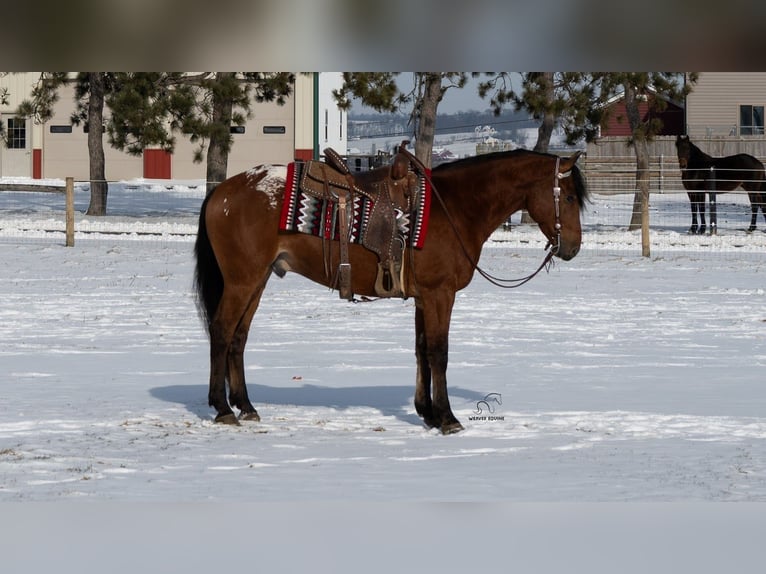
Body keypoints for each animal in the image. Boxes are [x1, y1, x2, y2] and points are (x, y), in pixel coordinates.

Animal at [193, 148, 588, 434]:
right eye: (569, 198)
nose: (572, 247)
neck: (455, 207)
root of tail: (222, 191)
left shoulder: (424, 298)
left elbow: (421, 350)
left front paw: (427, 413)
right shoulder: (440, 294)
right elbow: (439, 353)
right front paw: (447, 418)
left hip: (257, 280)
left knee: (238, 337)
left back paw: (246, 406)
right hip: (242, 280)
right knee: (222, 331)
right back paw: (223, 408)